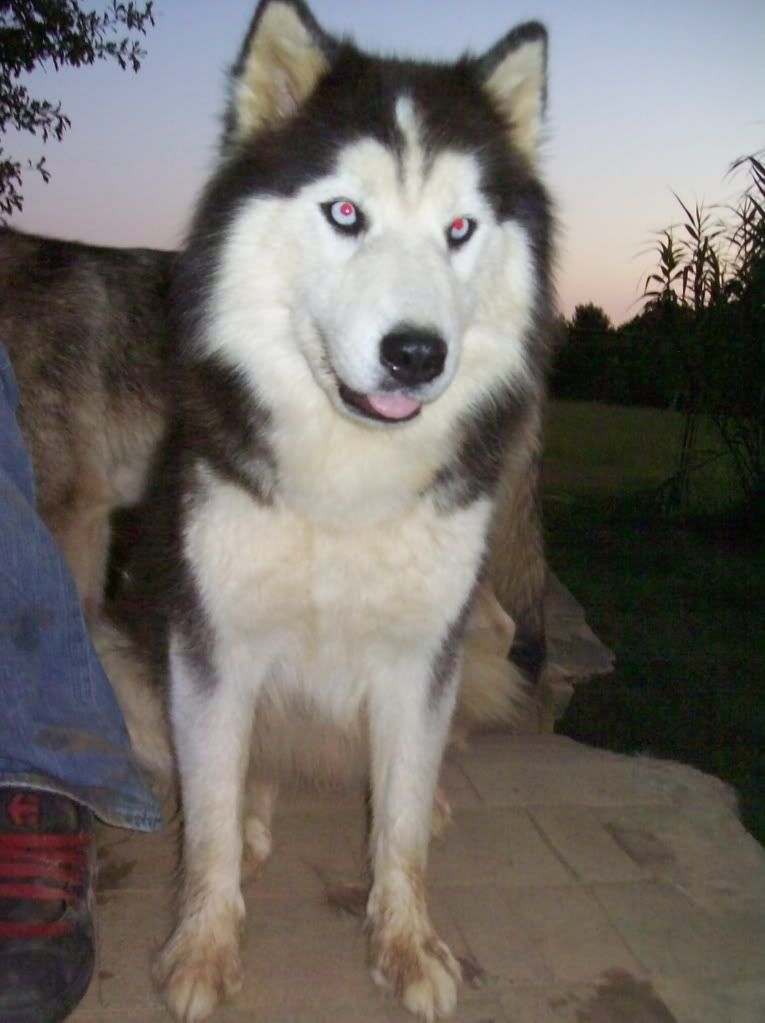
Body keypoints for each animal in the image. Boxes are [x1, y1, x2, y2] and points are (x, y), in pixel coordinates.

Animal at [103, 3, 556, 1018]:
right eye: (346, 212)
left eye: (460, 229)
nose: (416, 354)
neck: (348, 479)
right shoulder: (212, 643)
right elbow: (211, 820)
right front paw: (203, 943)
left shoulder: (423, 651)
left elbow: (398, 828)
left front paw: (406, 939)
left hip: (475, 640)